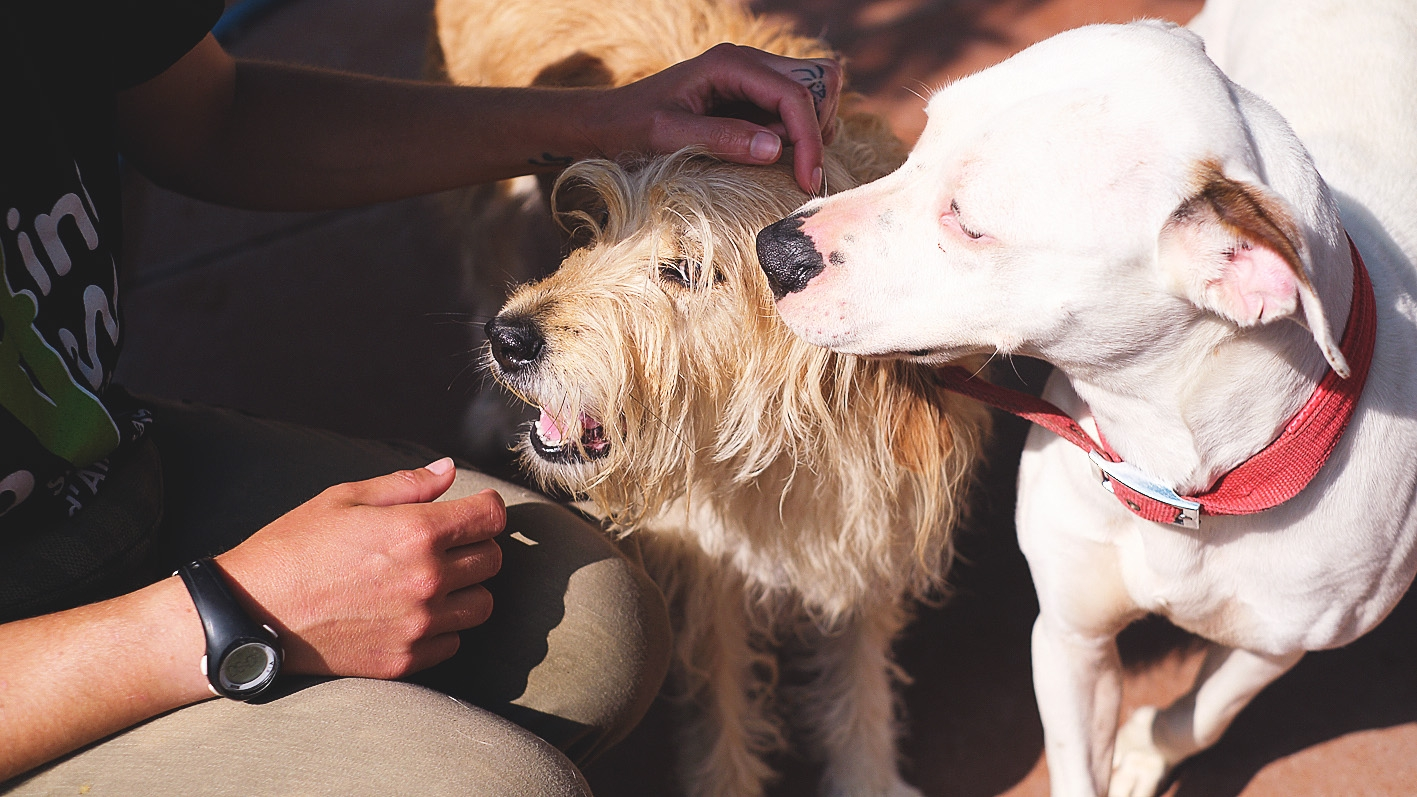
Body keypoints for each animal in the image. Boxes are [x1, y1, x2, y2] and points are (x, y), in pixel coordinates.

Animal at [434, 0, 991, 794]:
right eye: (606, 227)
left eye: (684, 268)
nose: (509, 340)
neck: (795, 441)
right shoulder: (708, 566)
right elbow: (723, 700)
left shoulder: (875, 524)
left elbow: (857, 688)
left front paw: (866, 773)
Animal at [756, 0, 1417, 794]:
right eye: (920, 144)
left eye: (968, 223)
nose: (774, 249)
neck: (1176, 470)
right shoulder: (1068, 632)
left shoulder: (1283, 639)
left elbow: (1213, 705)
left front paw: (1147, 750)